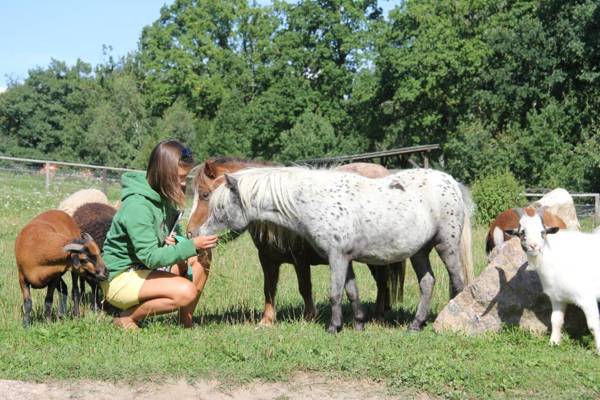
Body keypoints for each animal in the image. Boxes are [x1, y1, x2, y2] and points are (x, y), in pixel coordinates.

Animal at [188, 158, 404, 326]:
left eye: (206, 195)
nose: (191, 232)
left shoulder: (300, 259)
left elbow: (304, 287)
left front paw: (309, 316)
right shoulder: (267, 259)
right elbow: (269, 288)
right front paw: (267, 320)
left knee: (382, 281)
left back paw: (378, 315)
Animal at [506, 208, 600, 354]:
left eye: (542, 232)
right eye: (522, 232)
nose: (533, 246)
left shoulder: (587, 298)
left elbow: (593, 325)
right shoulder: (557, 298)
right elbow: (556, 320)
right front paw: (554, 343)